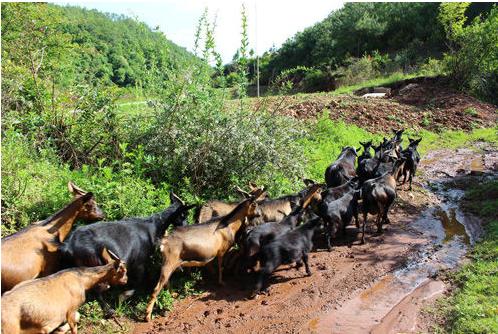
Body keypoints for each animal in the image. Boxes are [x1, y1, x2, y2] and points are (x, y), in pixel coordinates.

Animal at [57, 190, 193, 306]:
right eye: (184, 215)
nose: (187, 227)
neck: (153, 226)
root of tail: (68, 246)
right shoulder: (139, 263)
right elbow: (138, 281)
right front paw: (123, 296)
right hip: (94, 263)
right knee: (97, 289)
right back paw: (110, 310)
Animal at [144, 194, 260, 322]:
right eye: (254, 204)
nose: (259, 215)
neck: (227, 225)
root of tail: (164, 242)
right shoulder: (221, 251)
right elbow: (221, 266)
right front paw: (221, 282)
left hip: (169, 264)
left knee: (166, 281)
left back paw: (173, 294)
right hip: (169, 263)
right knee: (156, 288)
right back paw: (147, 316)